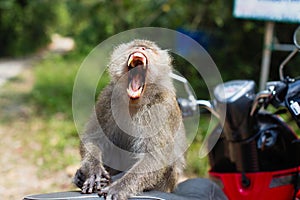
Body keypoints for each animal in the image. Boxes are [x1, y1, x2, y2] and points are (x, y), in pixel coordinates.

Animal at [74, 39, 186, 200]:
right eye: (135, 46)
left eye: (148, 49)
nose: (141, 48)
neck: (134, 103)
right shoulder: (107, 97)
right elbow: (93, 138)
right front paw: (93, 171)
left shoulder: (160, 108)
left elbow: (154, 156)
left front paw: (119, 188)